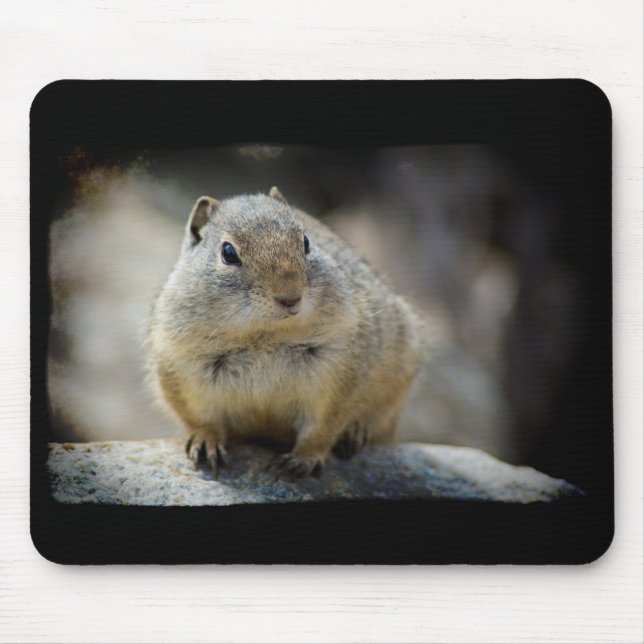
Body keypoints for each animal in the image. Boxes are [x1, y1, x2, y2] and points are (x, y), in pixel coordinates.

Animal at [147, 187, 425, 478]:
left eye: (306, 242)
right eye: (228, 252)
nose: (290, 297)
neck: (266, 335)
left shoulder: (340, 371)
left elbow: (324, 425)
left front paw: (304, 459)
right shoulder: (181, 368)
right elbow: (199, 418)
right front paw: (205, 443)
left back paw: (357, 432)